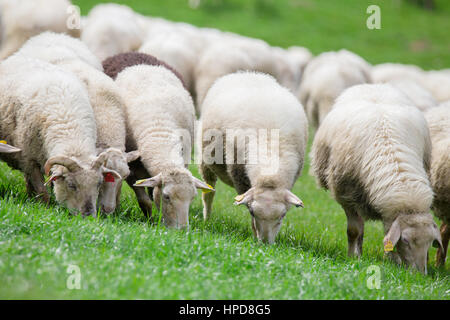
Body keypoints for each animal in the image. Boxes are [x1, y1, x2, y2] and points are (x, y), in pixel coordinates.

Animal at [0, 56, 108, 216]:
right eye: (71, 185)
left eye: (99, 183)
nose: (88, 216)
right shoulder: (29, 159)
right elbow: (42, 191)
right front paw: (43, 208)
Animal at [109, 54, 214, 228]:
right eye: (167, 197)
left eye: (192, 198)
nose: (182, 230)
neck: (159, 130)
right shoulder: (130, 169)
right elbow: (145, 201)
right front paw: (151, 221)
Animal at [199, 71, 308, 244]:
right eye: (251, 212)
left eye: (282, 216)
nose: (266, 244)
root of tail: (247, 73)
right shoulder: (240, 178)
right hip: (206, 159)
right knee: (209, 192)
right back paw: (207, 219)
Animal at [310, 84, 442, 274]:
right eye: (406, 240)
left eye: (430, 242)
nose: (419, 275)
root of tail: (372, 86)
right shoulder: (347, 196)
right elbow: (354, 230)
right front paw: (352, 258)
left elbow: (388, 237)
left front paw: (394, 262)